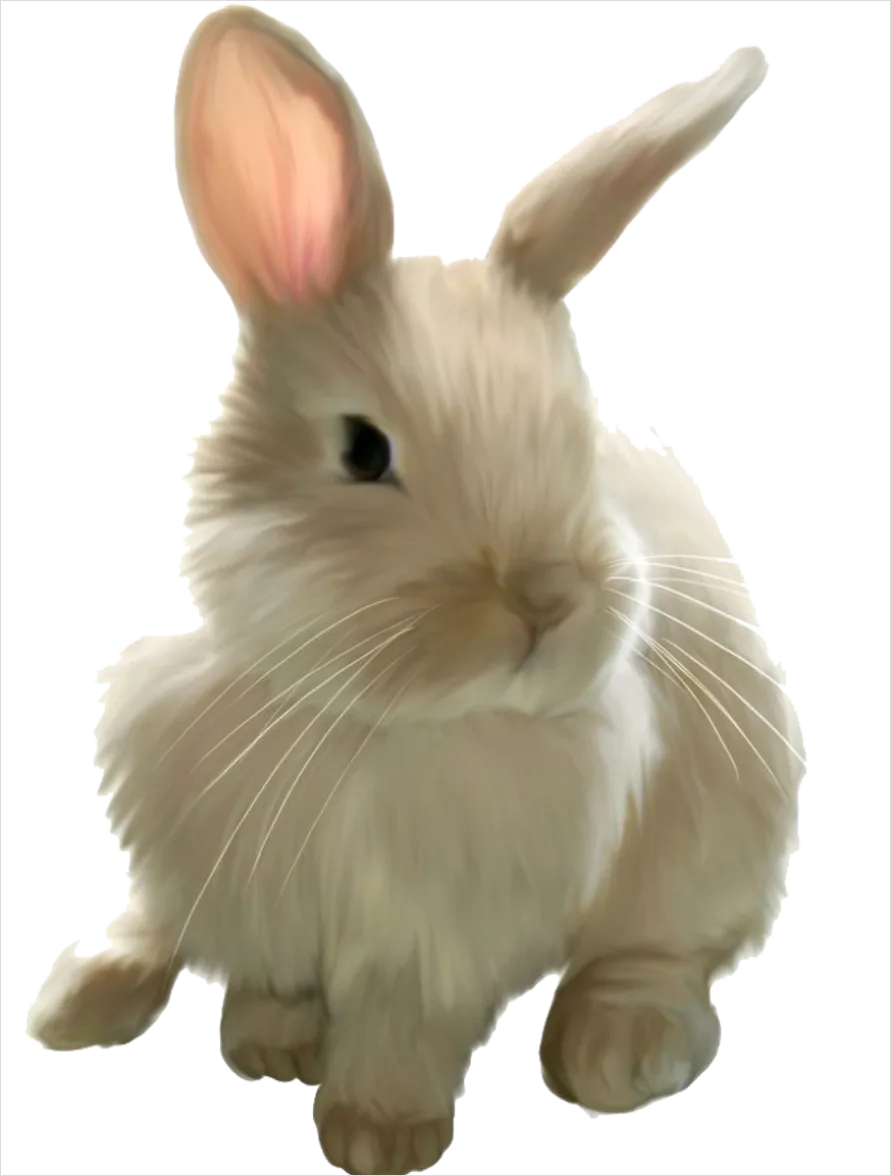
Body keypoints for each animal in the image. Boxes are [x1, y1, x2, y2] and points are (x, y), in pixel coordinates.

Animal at [25, 8, 802, 1174]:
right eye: (361, 451)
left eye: (573, 433)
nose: (546, 598)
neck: (361, 723)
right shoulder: (202, 865)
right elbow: (172, 939)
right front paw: (114, 1012)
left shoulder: (439, 943)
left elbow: (406, 1027)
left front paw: (375, 1133)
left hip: (711, 849)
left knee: (656, 954)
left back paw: (616, 1047)